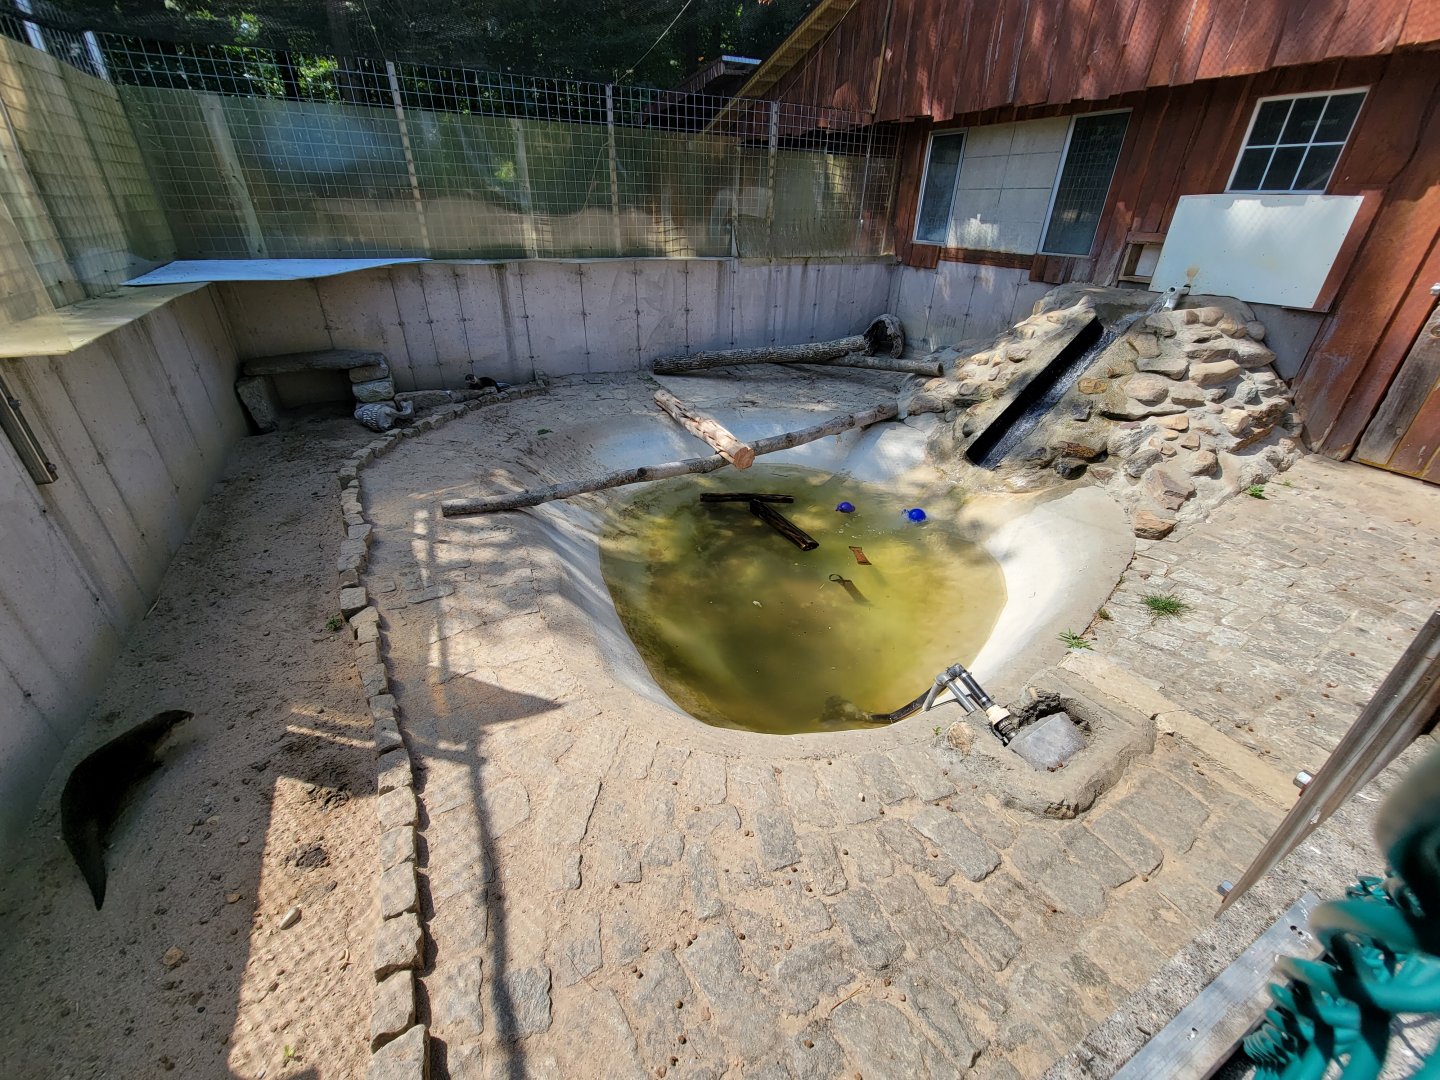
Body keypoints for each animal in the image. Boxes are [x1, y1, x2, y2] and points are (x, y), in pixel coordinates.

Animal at [61, 709, 193, 909]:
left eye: (181, 711)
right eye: (182, 716)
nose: (192, 713)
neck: (145, 738)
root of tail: (72, 821)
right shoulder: (142, 757)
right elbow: (144, 770)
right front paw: (157, 764)